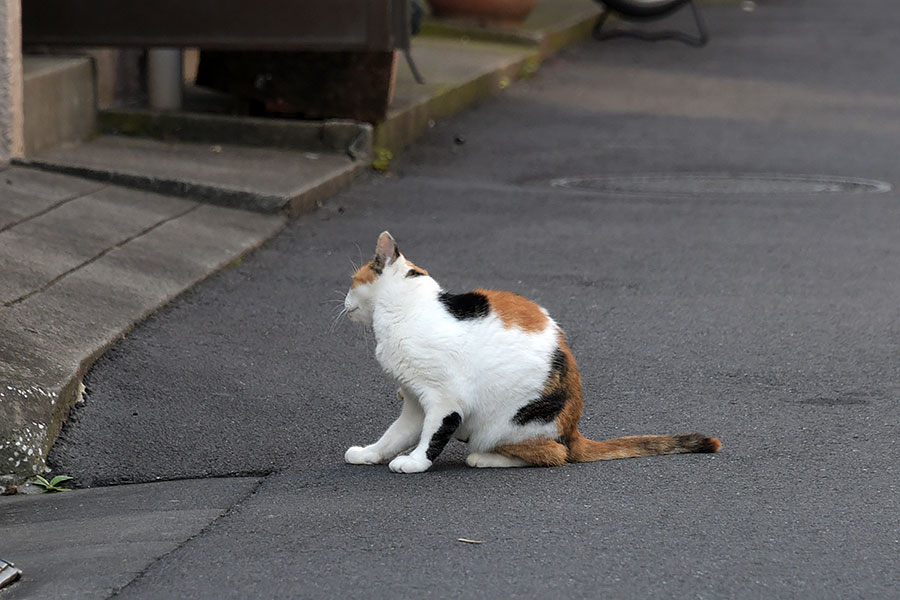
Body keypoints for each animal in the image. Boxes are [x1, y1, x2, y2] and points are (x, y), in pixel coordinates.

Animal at [342, 232, 720, 472]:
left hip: (508, 422)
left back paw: (484, 458)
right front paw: (371, 454)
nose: (343, 301)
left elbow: (432, 433)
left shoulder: (444, 397)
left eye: (352, 281)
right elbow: (396, 434)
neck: (406, 309)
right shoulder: (414, 399)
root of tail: (573, 429)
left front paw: (416, 462)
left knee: (553, 454)